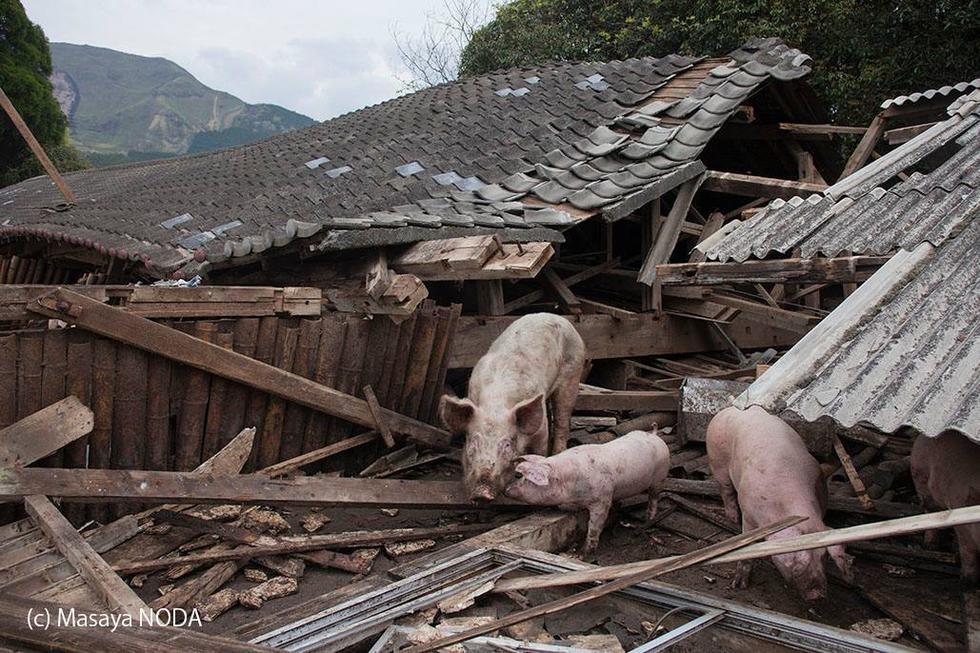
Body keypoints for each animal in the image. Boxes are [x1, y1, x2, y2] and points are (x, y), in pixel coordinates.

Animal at [440, 314, 584, 502]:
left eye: (507, 444)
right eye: (474, 442)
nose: (482, 493)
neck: (496, 403)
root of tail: (557, 317)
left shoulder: (540, 433)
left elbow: (538, 453)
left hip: (573, 374)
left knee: (562, 419)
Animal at [506, 428, 668, 556]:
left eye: (524, 478)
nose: (506, 490)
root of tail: (655, 435)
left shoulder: (601, 499)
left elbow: (595, 526)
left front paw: (582, 554)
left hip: (660, 477)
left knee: (654, 498)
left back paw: (648, 520)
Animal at [704, 408, 848, 600]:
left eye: (823, 556)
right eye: (796, 559)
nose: (817, 594)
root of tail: (730, 409)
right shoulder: (749, 514)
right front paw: (739, 585)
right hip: (717, 460)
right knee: (725, 490)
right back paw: (732, 518)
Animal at [912, 430, 980, 584]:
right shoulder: (963, 528)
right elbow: (968, 551)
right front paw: (968, 581)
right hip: (920, 478)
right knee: (929, 512)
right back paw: (930, 546)